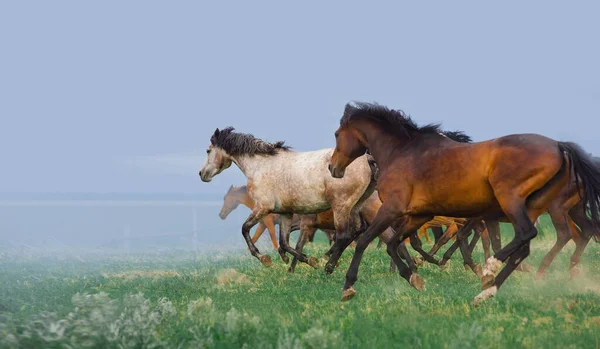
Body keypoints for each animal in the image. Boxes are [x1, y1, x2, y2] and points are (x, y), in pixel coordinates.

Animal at [200, 127, 376, 266]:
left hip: (341, 206)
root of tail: (366, 159)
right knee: (358, 230)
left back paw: (329, 266)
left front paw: (264, 258)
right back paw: (327, 260)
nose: (202, 174)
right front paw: (307, 260)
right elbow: (284, 243)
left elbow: (245, 229)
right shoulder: (285, 213)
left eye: (208, 150)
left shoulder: (263, 208)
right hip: (355, 205)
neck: (259, 166)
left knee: (344, 235)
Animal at [328, 100, 600, 302]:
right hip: (533, 207)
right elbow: (394, 245)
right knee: (527, 246)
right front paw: (414, 278)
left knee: (528, 234)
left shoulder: (392, 210)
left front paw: (348, 286)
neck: (401, 152)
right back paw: (487, 291)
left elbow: (365, 241)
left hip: (513, 201)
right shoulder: (419, 215)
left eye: (337, 134)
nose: (333, 168)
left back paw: (491, 268)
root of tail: (558, 146)